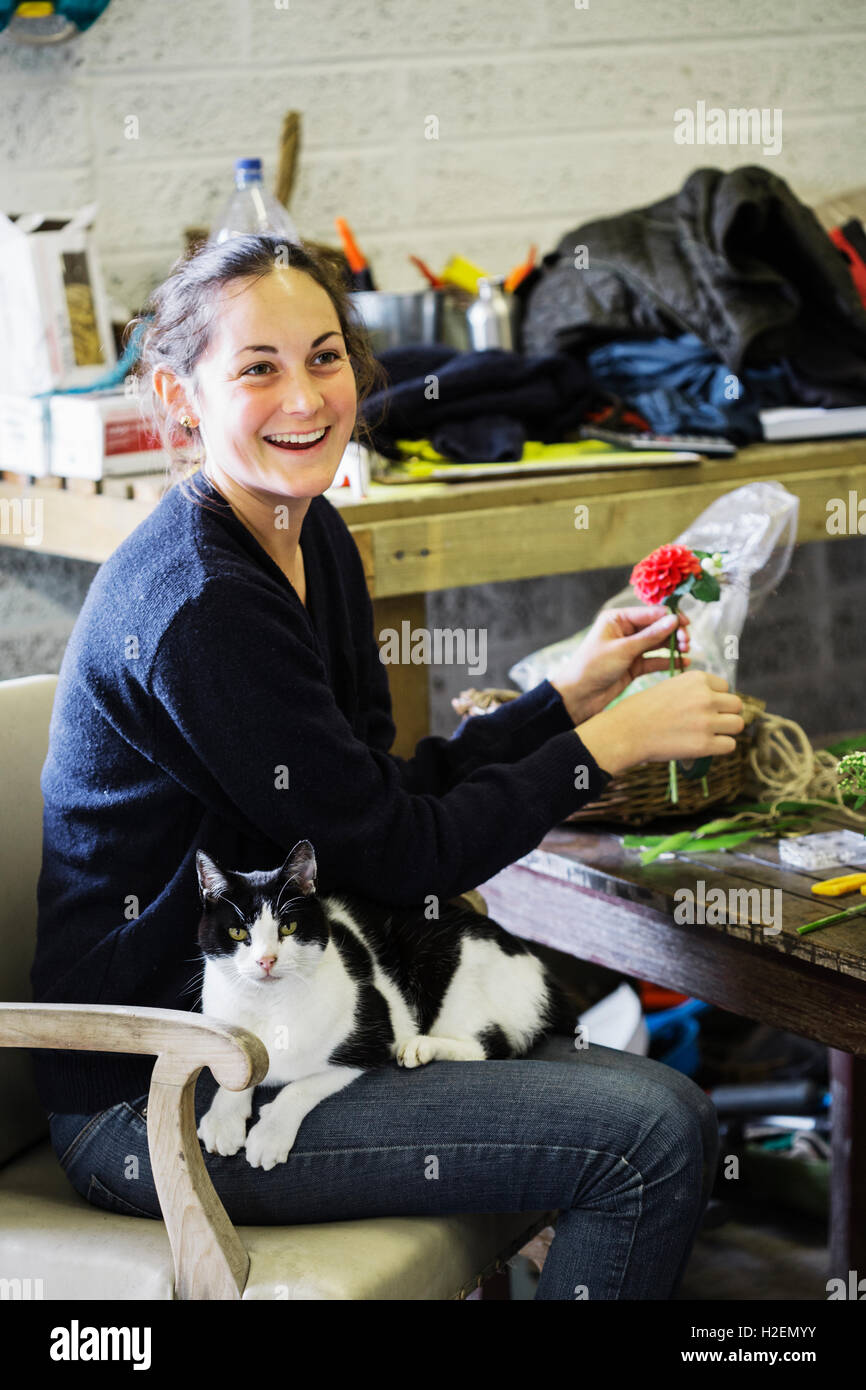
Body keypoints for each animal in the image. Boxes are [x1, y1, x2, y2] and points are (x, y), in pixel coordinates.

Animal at [194, 834, 575, 1173]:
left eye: (288, 927)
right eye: (237, 933)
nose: (266, 961)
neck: (267, 1006)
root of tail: (538, 967)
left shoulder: (370, 1042)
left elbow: (301, 1086)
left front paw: (269, 1134)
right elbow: (234, 1072)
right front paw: (224, 1119)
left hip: (462, 976)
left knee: (488, 1045)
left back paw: (422, 1047)